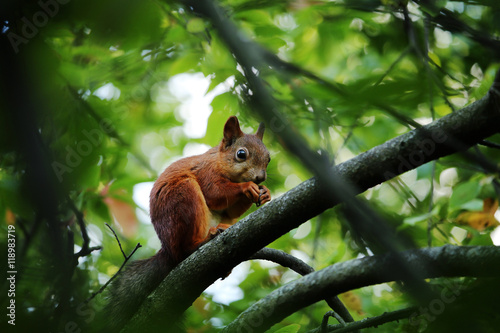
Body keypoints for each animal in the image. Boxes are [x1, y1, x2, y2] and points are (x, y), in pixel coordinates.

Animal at [102, 115, 272, 330]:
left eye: (268, 158)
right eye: (241, 154)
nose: (260, 177)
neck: (218, 160)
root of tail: (168, 249)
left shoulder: (229, 209)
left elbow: (231, 210)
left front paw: (265, 193)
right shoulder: (206, 173)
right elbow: (215, 193)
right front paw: (247, 186)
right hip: (184, 195)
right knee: (185, 249)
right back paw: (206, 238)